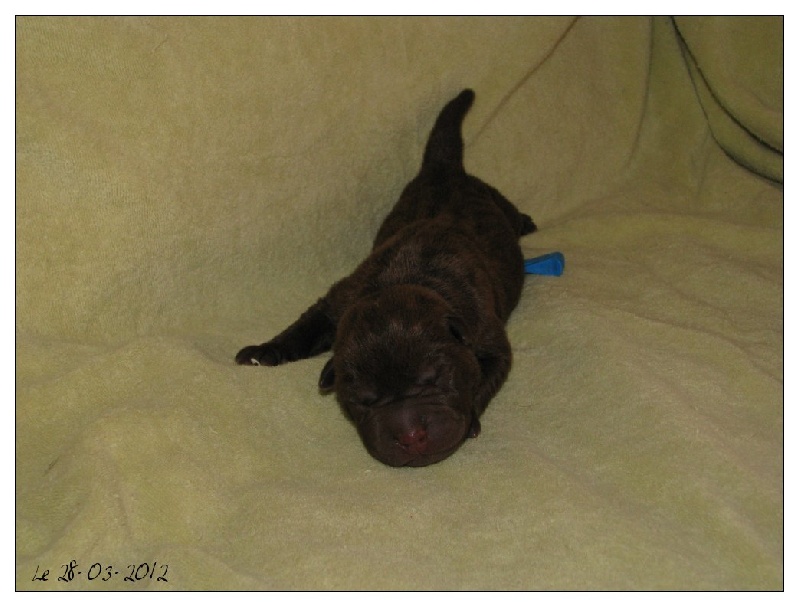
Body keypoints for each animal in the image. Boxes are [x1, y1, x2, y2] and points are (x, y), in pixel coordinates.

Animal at [236, 89, 536, 466]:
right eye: (364, 400)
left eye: (434, 378)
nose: (411, 436)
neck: (405, 278)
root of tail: (444, 167)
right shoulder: (339, 300)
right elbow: (305, 325)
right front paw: (264, 351)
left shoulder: (485, 332)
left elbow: (489, 371)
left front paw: (472, 418)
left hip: (495, 199)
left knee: (509, 209)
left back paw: (526, 221)